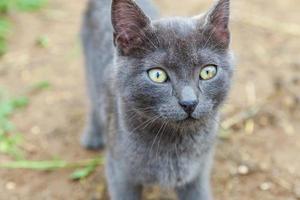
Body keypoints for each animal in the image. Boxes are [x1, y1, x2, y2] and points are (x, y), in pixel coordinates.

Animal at [81, 0, 233, 199]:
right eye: (157, 75)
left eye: (208, 72)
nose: (189, 103)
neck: (176, 146)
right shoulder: (119, 174)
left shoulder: (197, 173)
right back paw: (93, 136)